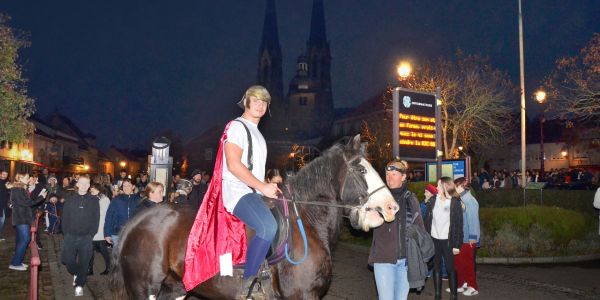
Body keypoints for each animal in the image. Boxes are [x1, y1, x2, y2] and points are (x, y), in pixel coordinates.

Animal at [111, 135, 398, 298]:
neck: (306, 224)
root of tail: (135, 223)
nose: (391, 207)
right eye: (361, 169)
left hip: (174, 288)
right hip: (144, 288)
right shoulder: (302, 295)